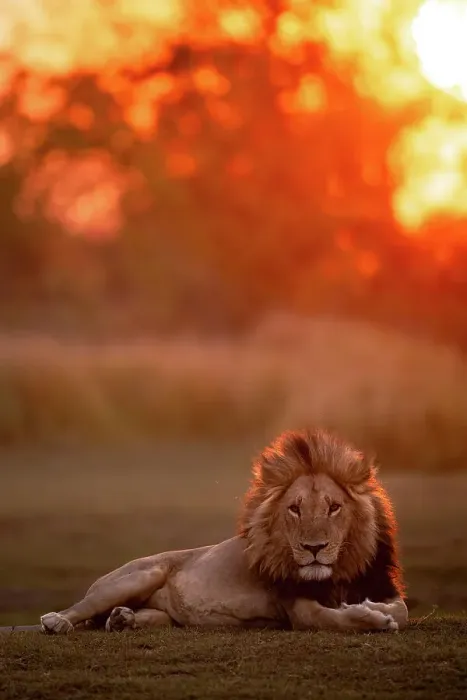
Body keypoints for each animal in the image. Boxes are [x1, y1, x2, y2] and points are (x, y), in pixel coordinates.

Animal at [40, 428, 408, 635]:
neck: (340, 570)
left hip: (163, 615)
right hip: (138, 576)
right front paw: (372, 619)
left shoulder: (380, 584)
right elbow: (330, 620)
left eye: (334, 507)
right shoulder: (296, 607)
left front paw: (374, 610)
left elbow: (402, 610)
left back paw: (122, 620)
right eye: (295, 508)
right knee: (83, 607)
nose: (313, 547)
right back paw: (58, 621)